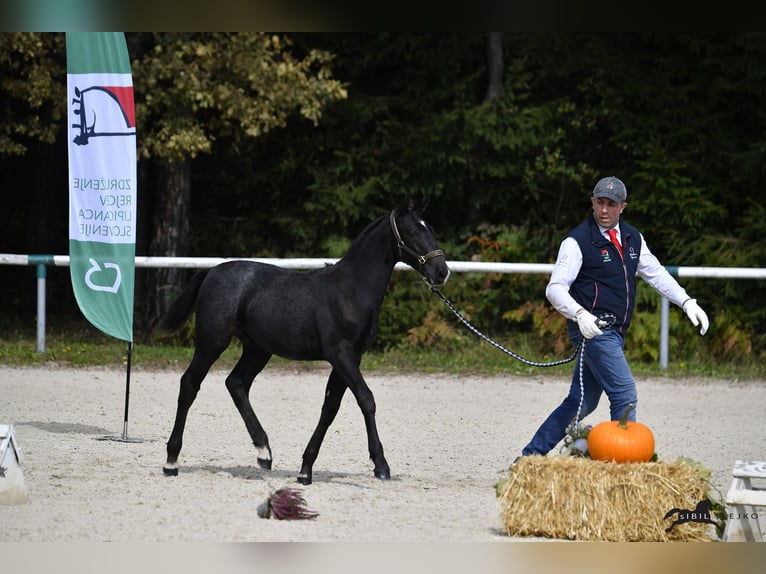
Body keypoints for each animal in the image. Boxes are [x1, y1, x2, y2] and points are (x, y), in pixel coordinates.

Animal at [159, 198, 452, 486]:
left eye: (431, 229)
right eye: (412, 231)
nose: (441, 272)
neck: (350, 291)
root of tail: (211, 271)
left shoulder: (350, 358)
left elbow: (330, 407)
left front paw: (305, 470)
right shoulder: (341, 355)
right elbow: (366, 399)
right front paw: (380, 466)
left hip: (257, 349)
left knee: (236, 383)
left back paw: (264, 453)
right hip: (212, 342)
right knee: (189, 384)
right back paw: (171, 462)